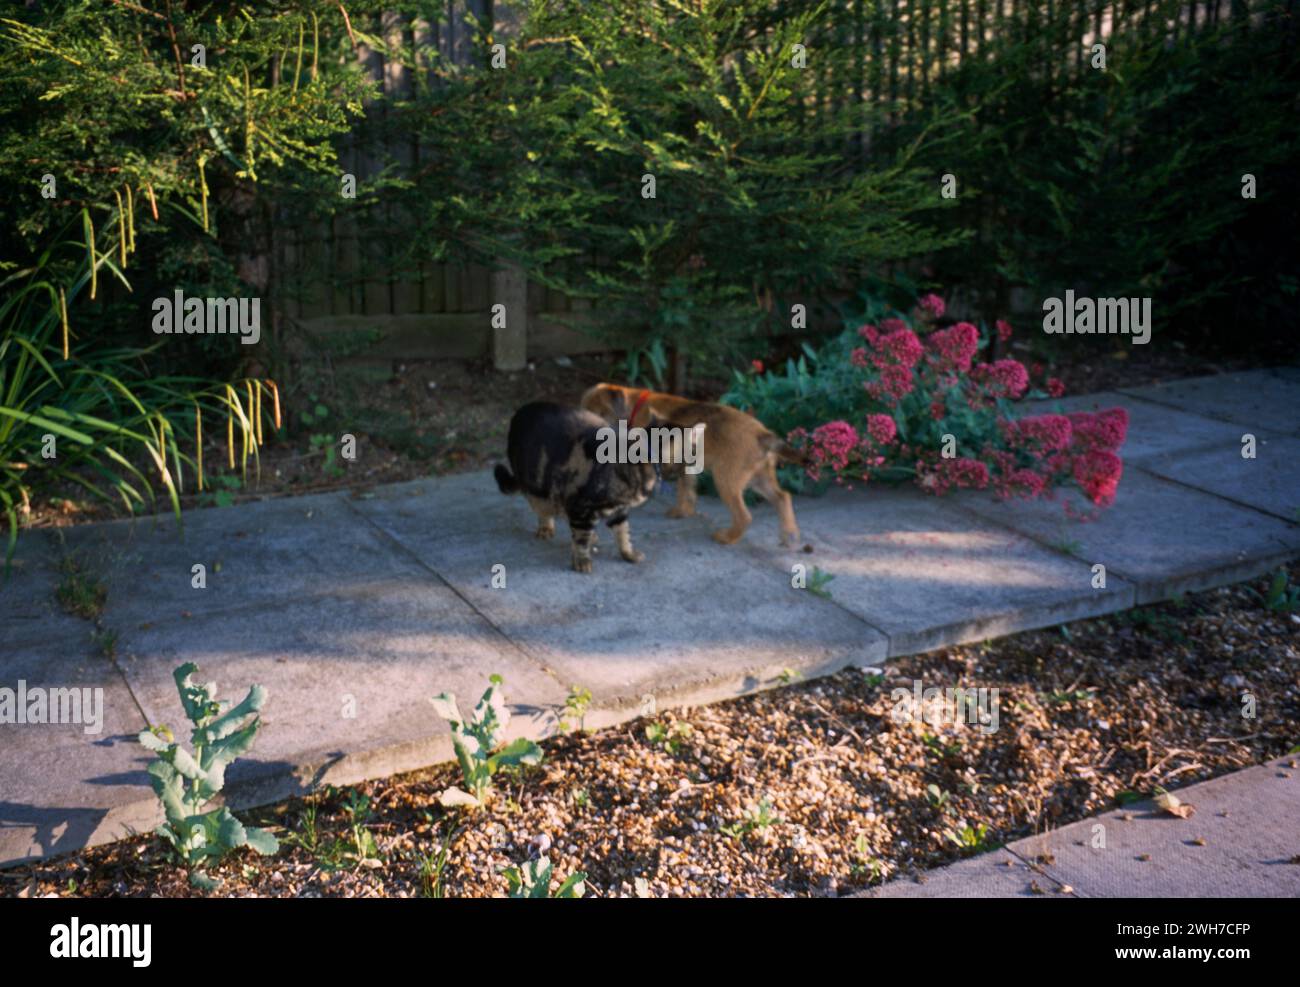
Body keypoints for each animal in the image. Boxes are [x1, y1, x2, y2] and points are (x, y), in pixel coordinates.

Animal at [579, 382, 800, 548]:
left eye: (598, 413)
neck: (633, 408)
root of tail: (763, 434)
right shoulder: (686, 466)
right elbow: (686, 489)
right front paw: (683, 511)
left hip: (726, 480)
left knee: (744, 515)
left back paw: (728, 537)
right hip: (759, 477)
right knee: (783, 497)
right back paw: (789, 534)